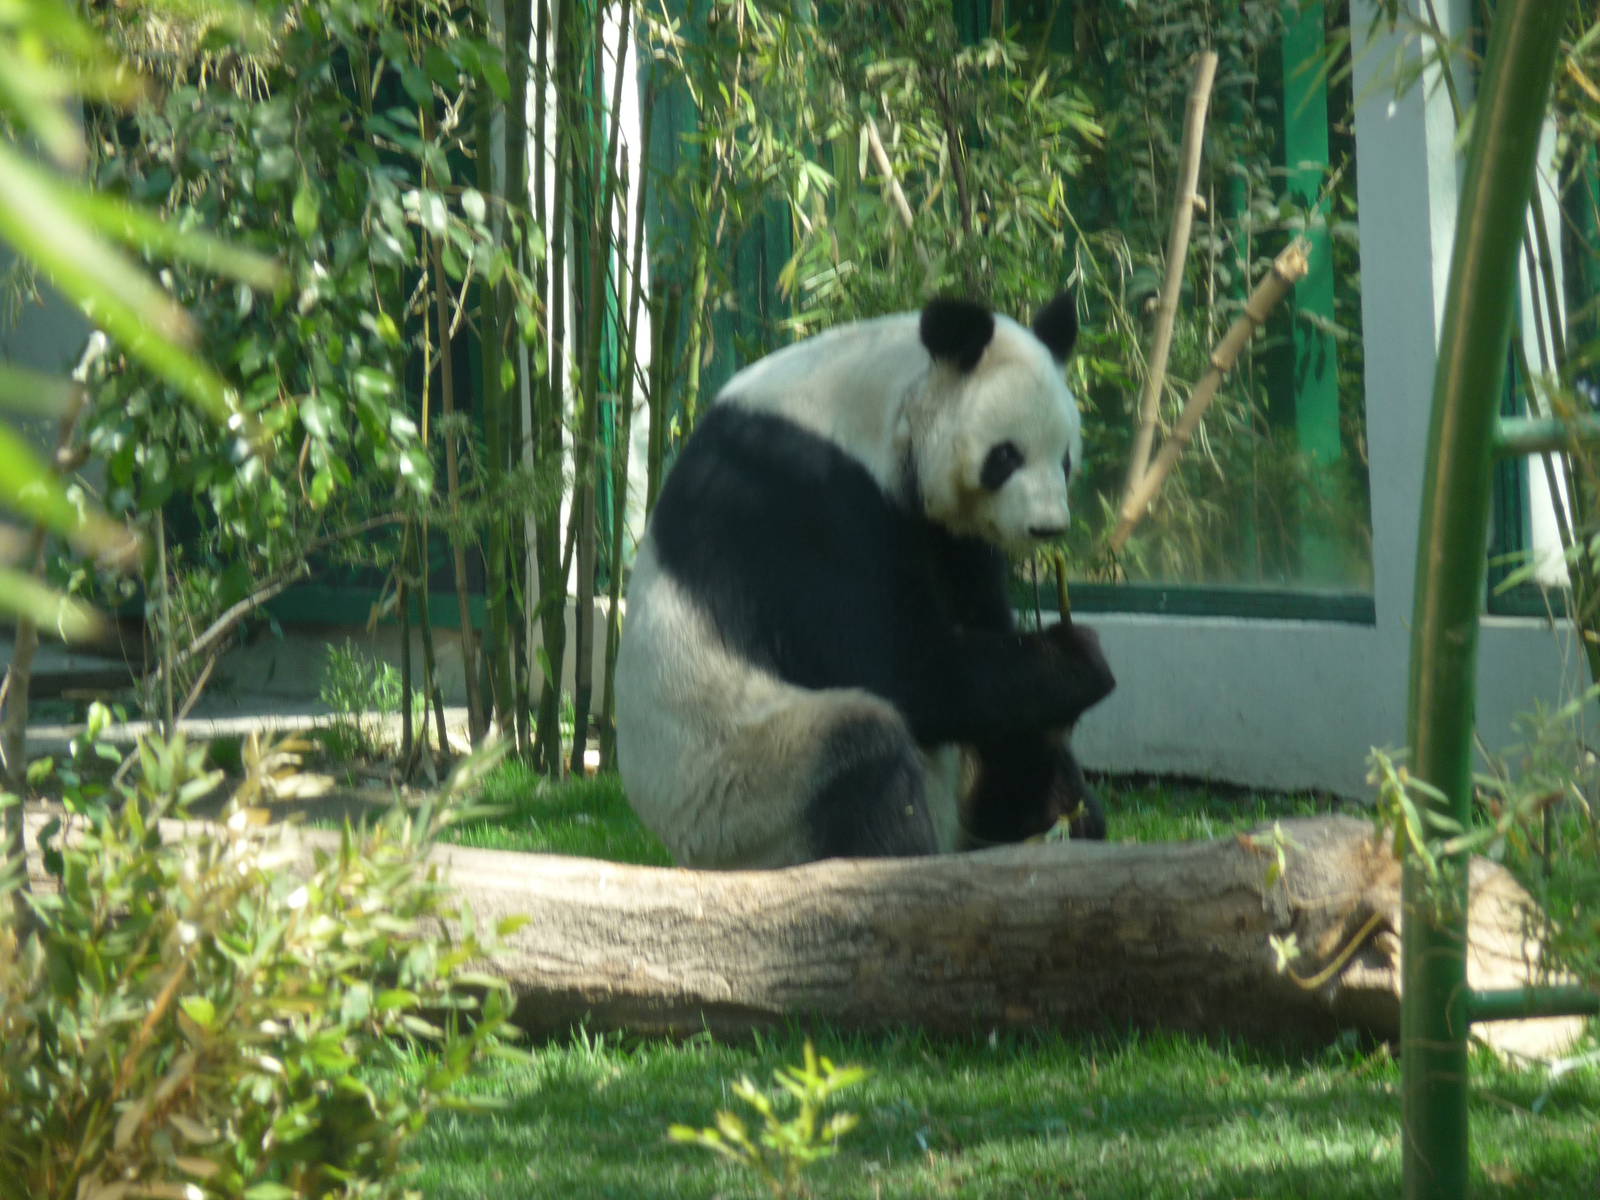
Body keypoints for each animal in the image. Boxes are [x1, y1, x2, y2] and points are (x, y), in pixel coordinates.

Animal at [615, 292, 1116, 869]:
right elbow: (897, 664)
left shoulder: (943, 532)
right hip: (738, 786)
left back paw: (1055, 824)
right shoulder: (798, 494)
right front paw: (1079, 658)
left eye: (1066, 458)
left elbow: (981, 638)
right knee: (859, 754)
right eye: (1006, 456)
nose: (1047, 527)